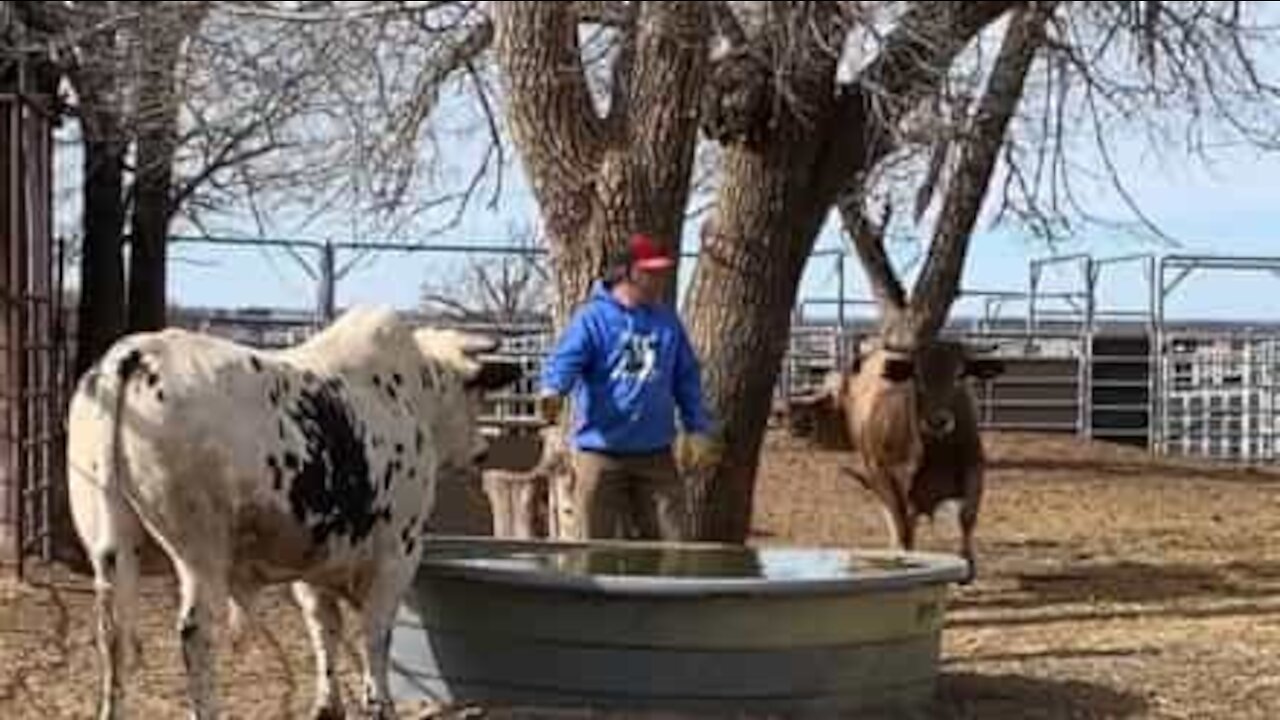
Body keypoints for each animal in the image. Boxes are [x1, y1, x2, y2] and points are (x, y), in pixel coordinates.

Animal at [63, 307, 524, 717]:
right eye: (477, 394)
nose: (483, 450)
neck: (412, 393)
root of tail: (136, 354)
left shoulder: (316, 559)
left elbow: (325, 627)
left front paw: (327, 704)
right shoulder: (398, 554)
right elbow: (375, 635)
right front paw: (379, 704)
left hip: (113, 547)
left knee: (114, 634)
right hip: (201, 552)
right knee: (197, 632)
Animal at [783, 338, 1003, 584]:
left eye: (960, 375)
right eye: (917, 376)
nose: (937, 421)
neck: (937, 452)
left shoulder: (975, 468)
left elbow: (967, 517)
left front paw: (968, 564)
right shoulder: (892, 477)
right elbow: (903, 525)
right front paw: (906, 562)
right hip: (877, 471)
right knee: (895, 517)